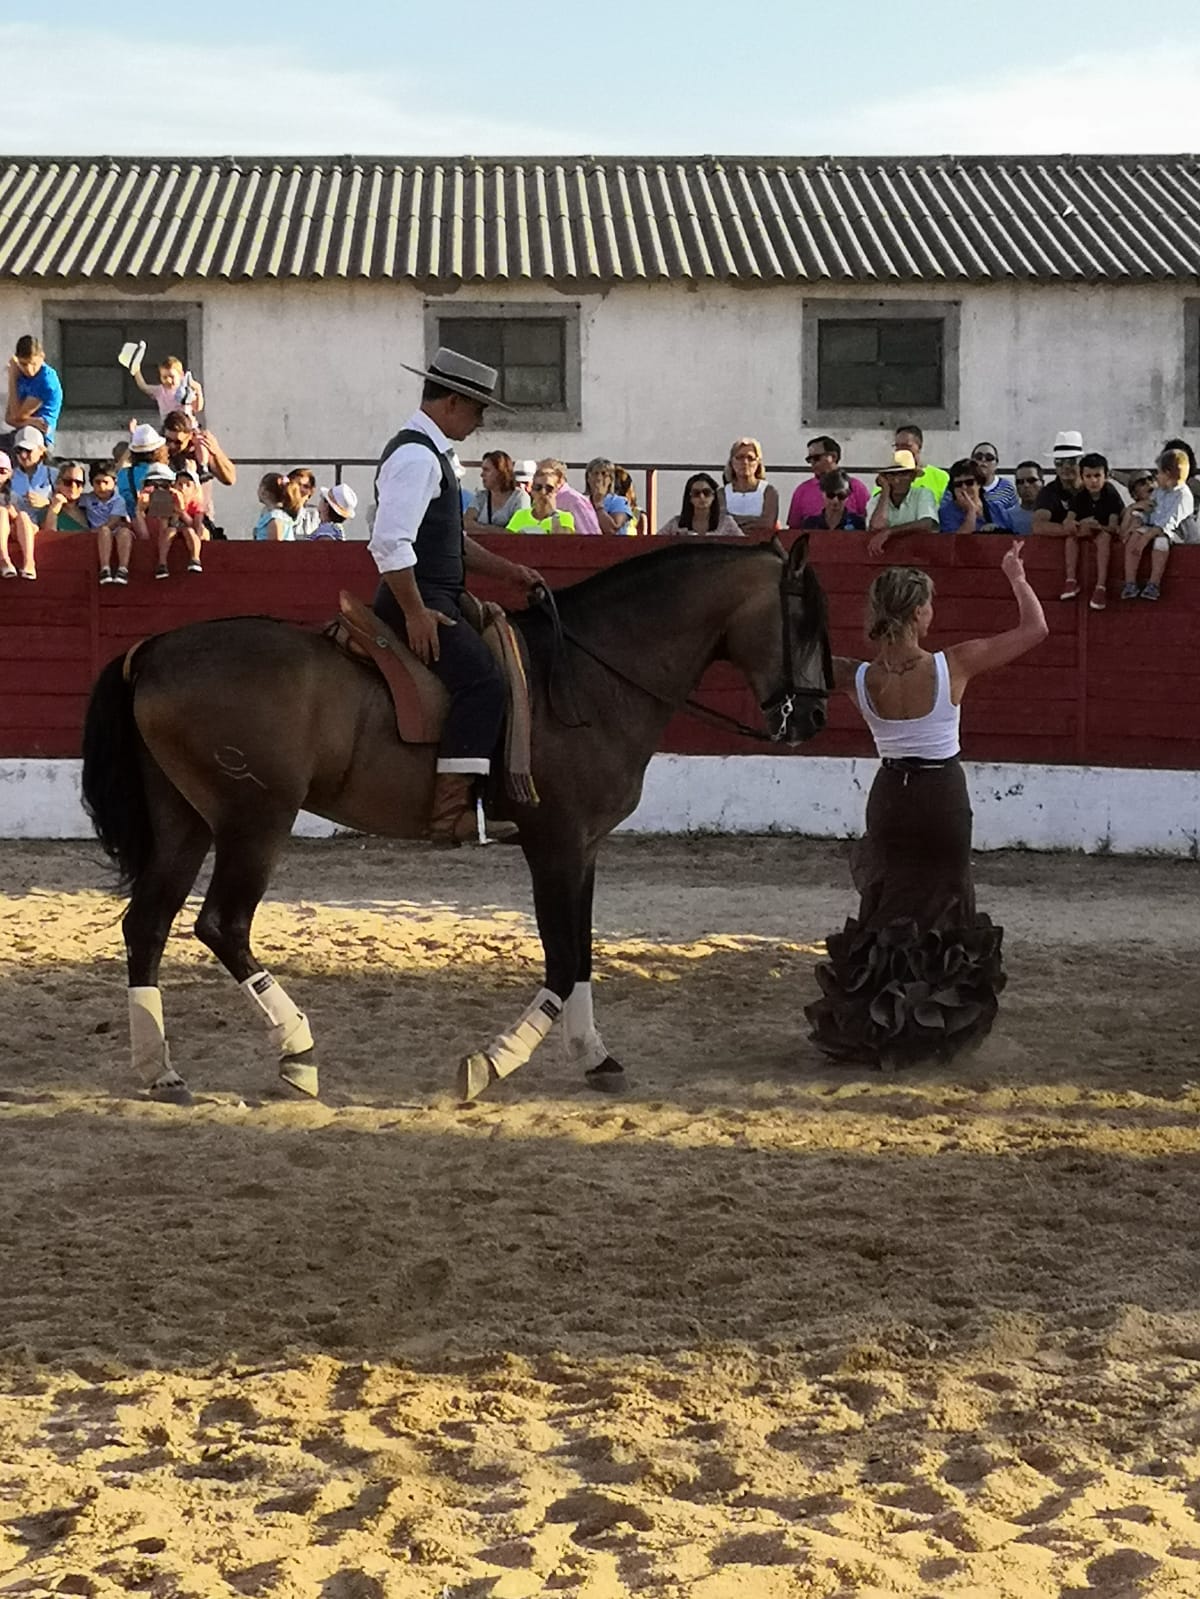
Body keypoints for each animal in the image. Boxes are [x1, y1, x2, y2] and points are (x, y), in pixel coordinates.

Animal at [80, 530, 832, 1106]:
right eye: (805, 621)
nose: (814, 717)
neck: (587, 678)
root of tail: (152, 650)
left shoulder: (586, 847)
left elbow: (583, 953)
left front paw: (596, 1056)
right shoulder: (555, 842)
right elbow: (562, 959)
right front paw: (493, 1061)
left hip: (186, 824)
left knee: (147, 926)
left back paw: (161, 1071)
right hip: (255, 821)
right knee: (222, 925)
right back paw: (296, 1052)